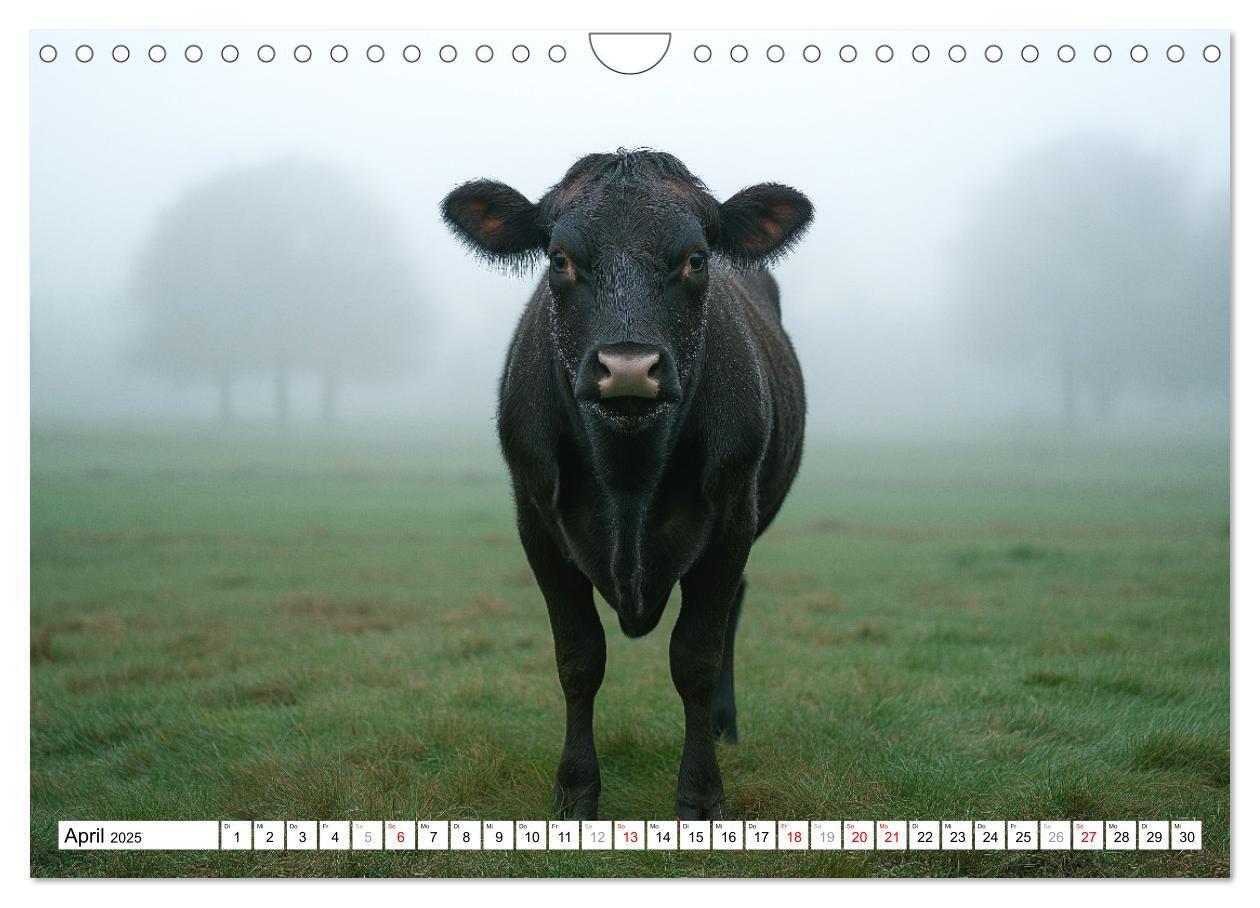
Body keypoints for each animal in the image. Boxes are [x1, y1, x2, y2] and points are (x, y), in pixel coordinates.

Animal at [443, 150, 811, 821]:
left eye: (696, 258)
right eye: (559, 258)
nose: (630, 367)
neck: (628, 475)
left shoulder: (731, 515)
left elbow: (695, 657)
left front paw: (701, 795)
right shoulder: (535, 518)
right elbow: (578, 658)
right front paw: (575, 791)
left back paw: (723, 724)